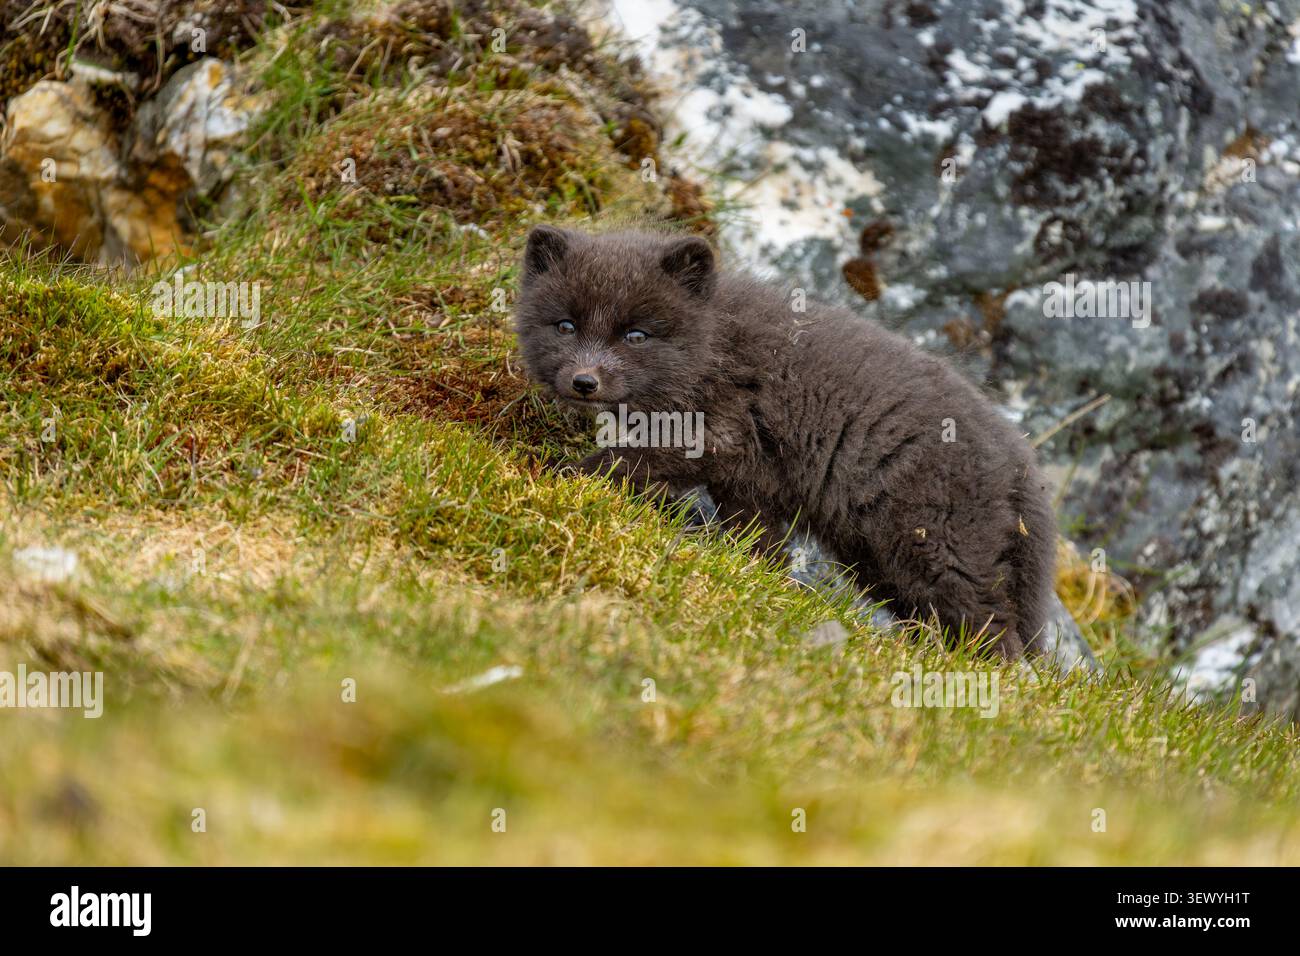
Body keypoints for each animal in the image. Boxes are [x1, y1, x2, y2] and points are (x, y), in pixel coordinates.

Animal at [513, 225, 1057, 657]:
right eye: (566, 325)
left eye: (637, 335)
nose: (584, 382)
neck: (713, 345)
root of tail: (1021, 462)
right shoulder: (752, 483)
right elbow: (760, 543)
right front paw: (755, 576)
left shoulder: (718, 433)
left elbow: (626, 461)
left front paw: (561, 474)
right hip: (881, 559)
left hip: (937, 545)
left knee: (994, 630)